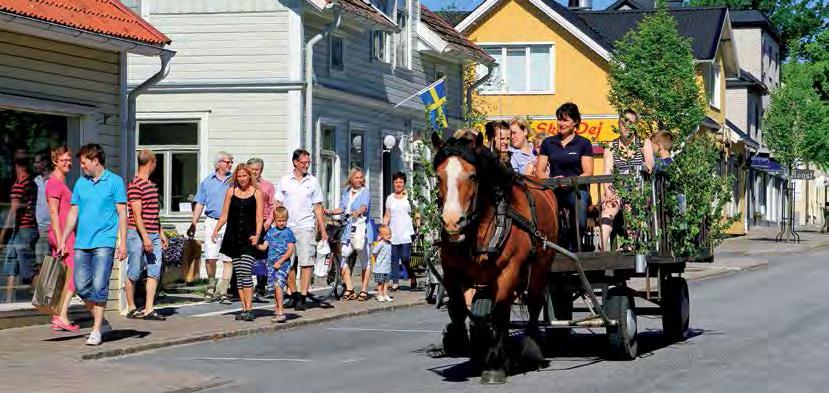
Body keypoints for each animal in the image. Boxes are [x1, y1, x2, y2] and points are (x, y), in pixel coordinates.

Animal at [430, 131, 560, 382]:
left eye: (472, 176)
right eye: (439, 176)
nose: (452, 222)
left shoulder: (509, 270)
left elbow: (500, 312)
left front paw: (495, 365)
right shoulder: (451, 271)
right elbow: (458, 308)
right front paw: (458, 341)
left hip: (540, 264)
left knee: (533, 303)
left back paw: (529, 349)